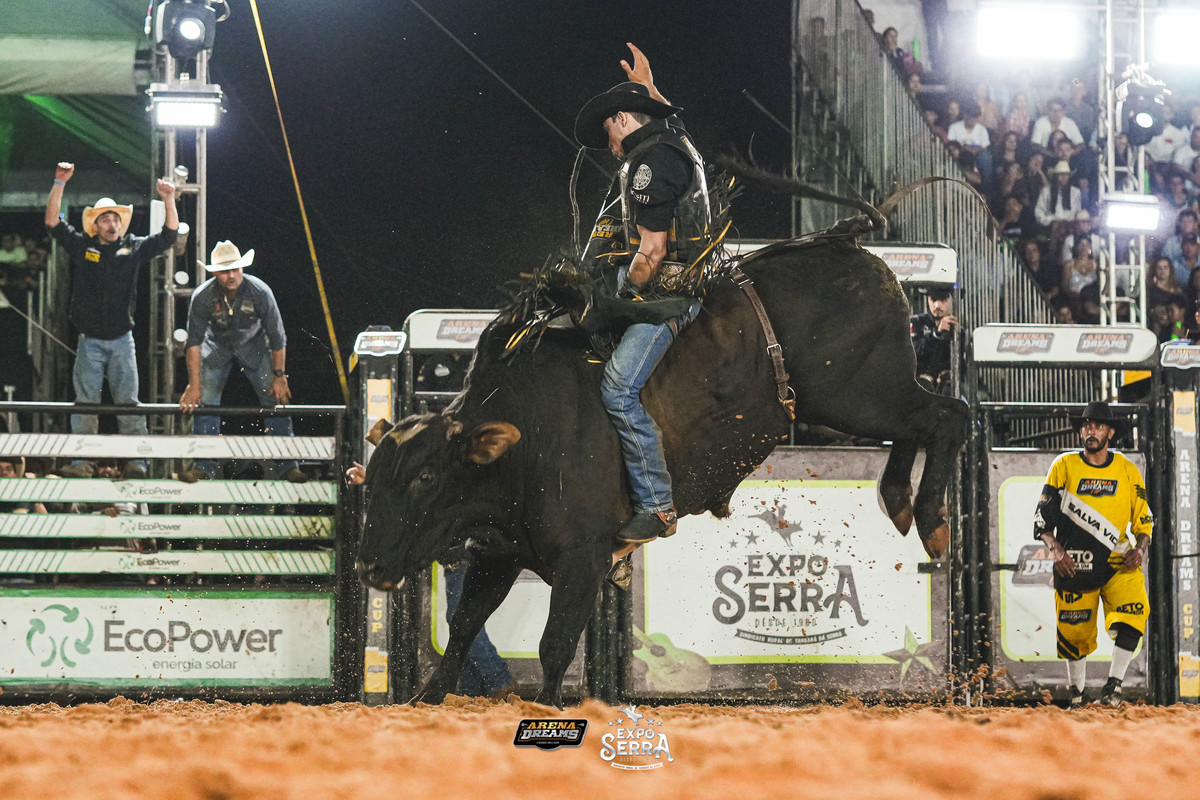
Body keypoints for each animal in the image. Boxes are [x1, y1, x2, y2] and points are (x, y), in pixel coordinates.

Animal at [356, 226, 969, 709]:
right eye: (373, 481)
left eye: (425, 477)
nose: (368, 567)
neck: (528, 435)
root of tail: (847, 246)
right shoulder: (499, 552)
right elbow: (463, 626)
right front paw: (428, 698)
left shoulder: (582, 557)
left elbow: (555, 644)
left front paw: (549, 708)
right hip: (858, 398)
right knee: (924, 424)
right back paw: (899, 502)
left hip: (857, 394)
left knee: (950, 414)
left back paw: (931, 519)